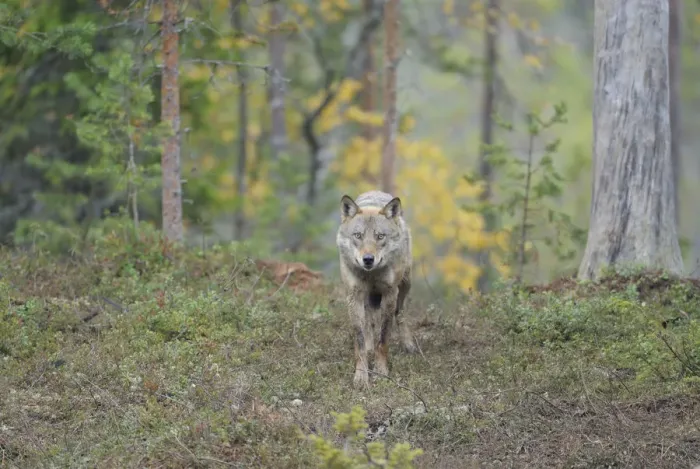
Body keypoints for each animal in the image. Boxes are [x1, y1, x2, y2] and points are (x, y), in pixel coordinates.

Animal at [336, 190, 417, 388]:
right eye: (358, 235)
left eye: (380, 236)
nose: (368, 259)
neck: (371, 274)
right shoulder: (354, 297)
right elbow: (360, 342)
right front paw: (361, 377)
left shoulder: (389, 294)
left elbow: (384, 339)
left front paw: (381, 373)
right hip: (369, 297)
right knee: (370, 323)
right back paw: (370, 346)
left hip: (404, 285)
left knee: (400, 313)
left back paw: (408, 344)